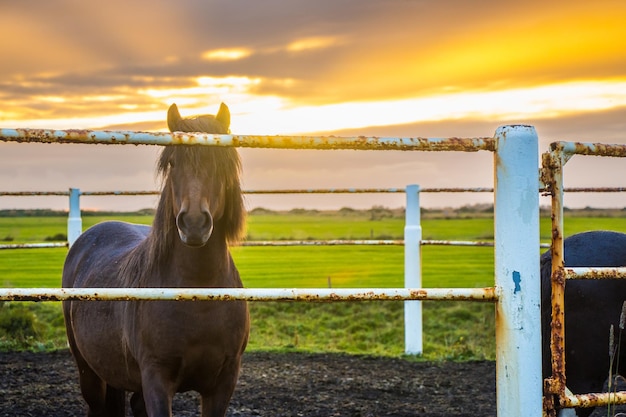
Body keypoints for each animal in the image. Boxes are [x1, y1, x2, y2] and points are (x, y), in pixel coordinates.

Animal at [62, 101, 249, 416]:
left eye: (220, 161)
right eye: (172, 162)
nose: (194, 223)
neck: (198, 294)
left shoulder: (223, 382)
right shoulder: (156, 379)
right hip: (89, 372)